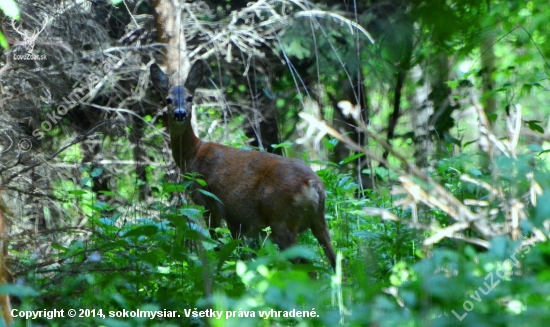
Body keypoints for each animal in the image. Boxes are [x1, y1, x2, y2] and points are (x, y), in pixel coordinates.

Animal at [152, 60, 340, 270]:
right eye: (168, 99)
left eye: (189, 98)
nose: (180, 113)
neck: (193, 155)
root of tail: (313, 185)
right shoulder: (237, 218)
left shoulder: (209, 201)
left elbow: (216, 242)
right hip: (318, 221)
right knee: (335, 259)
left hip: (281, 220)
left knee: (306, 266)